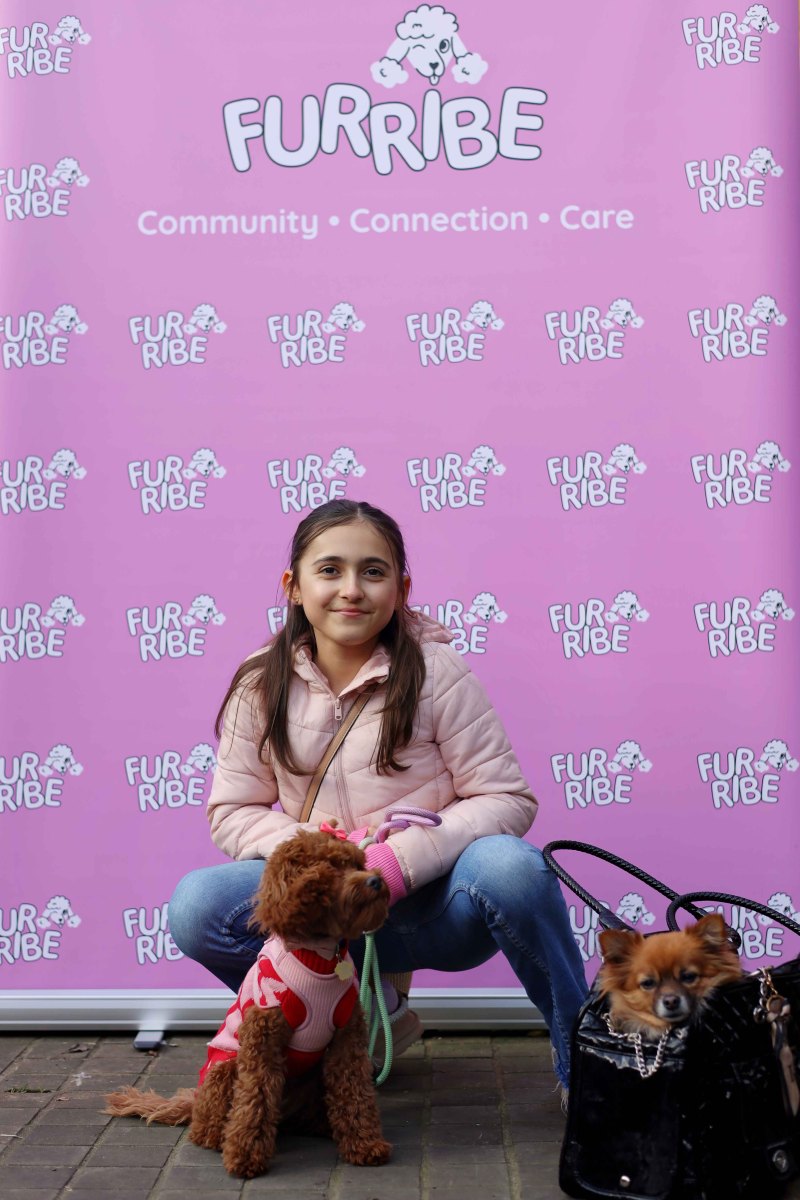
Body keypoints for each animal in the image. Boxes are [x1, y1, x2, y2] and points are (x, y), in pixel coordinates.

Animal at [105, 830, 392, 1178]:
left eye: (357, 863)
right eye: (331, 869)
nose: (376, 881)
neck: (319, 958)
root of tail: (195, 1101)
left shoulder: (345, 1040)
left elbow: (354, 1092)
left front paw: (365, 1144)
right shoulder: (262, 1040)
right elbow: (255, 1097)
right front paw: (244, 1157)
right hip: (225, 1069)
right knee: (209, 1125)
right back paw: (217, 1136)